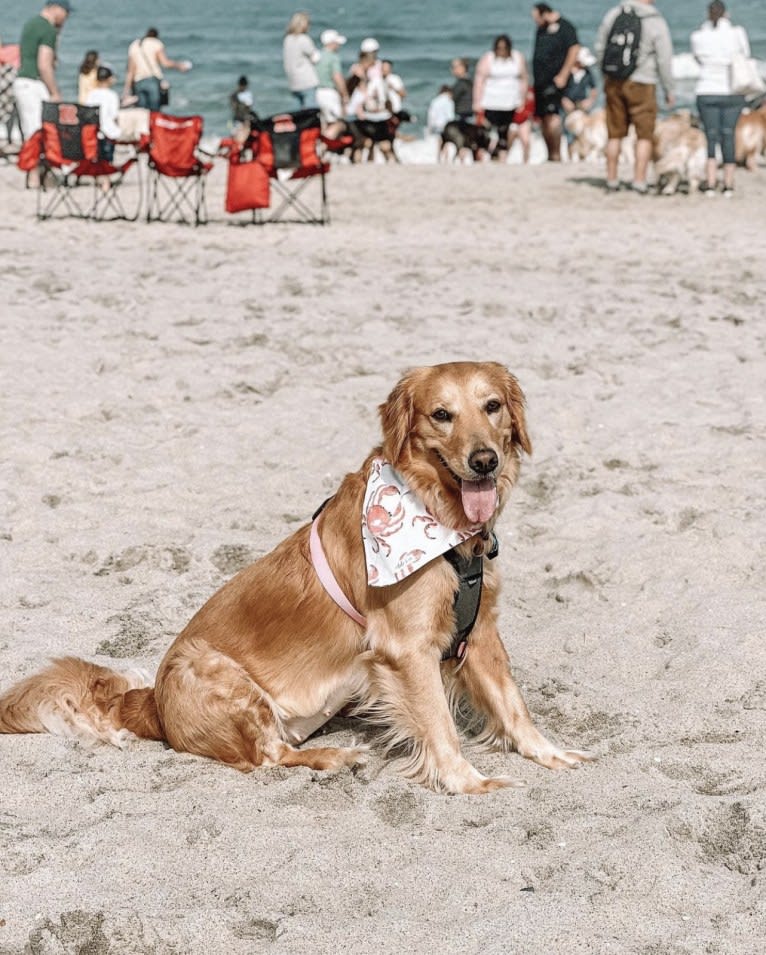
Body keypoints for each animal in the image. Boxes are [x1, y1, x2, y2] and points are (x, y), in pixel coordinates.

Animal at [0, 362, 592, 796]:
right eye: (442, 414)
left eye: (492, 406)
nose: (485, 460)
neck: (438, 518)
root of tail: (150, 704)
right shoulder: (407, 648)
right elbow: (440, 726)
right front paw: (468, 782)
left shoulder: (481, 629)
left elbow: (513, 704)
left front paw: (550, 753)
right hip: (216, 672)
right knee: (268, 758)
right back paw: (334, 755)